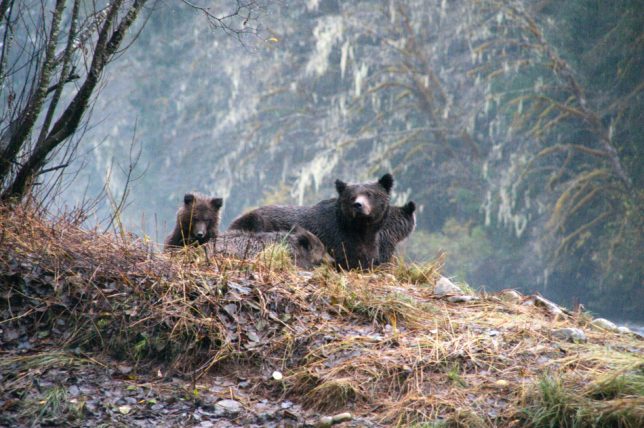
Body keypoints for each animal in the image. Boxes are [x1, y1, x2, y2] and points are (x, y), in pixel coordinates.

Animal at [228, 173, 394, 270]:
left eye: (370, 193)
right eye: (351, 196)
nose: (358, 205)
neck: (360, 230)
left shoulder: (371, 245)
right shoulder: (337, 240)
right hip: (257, 222)